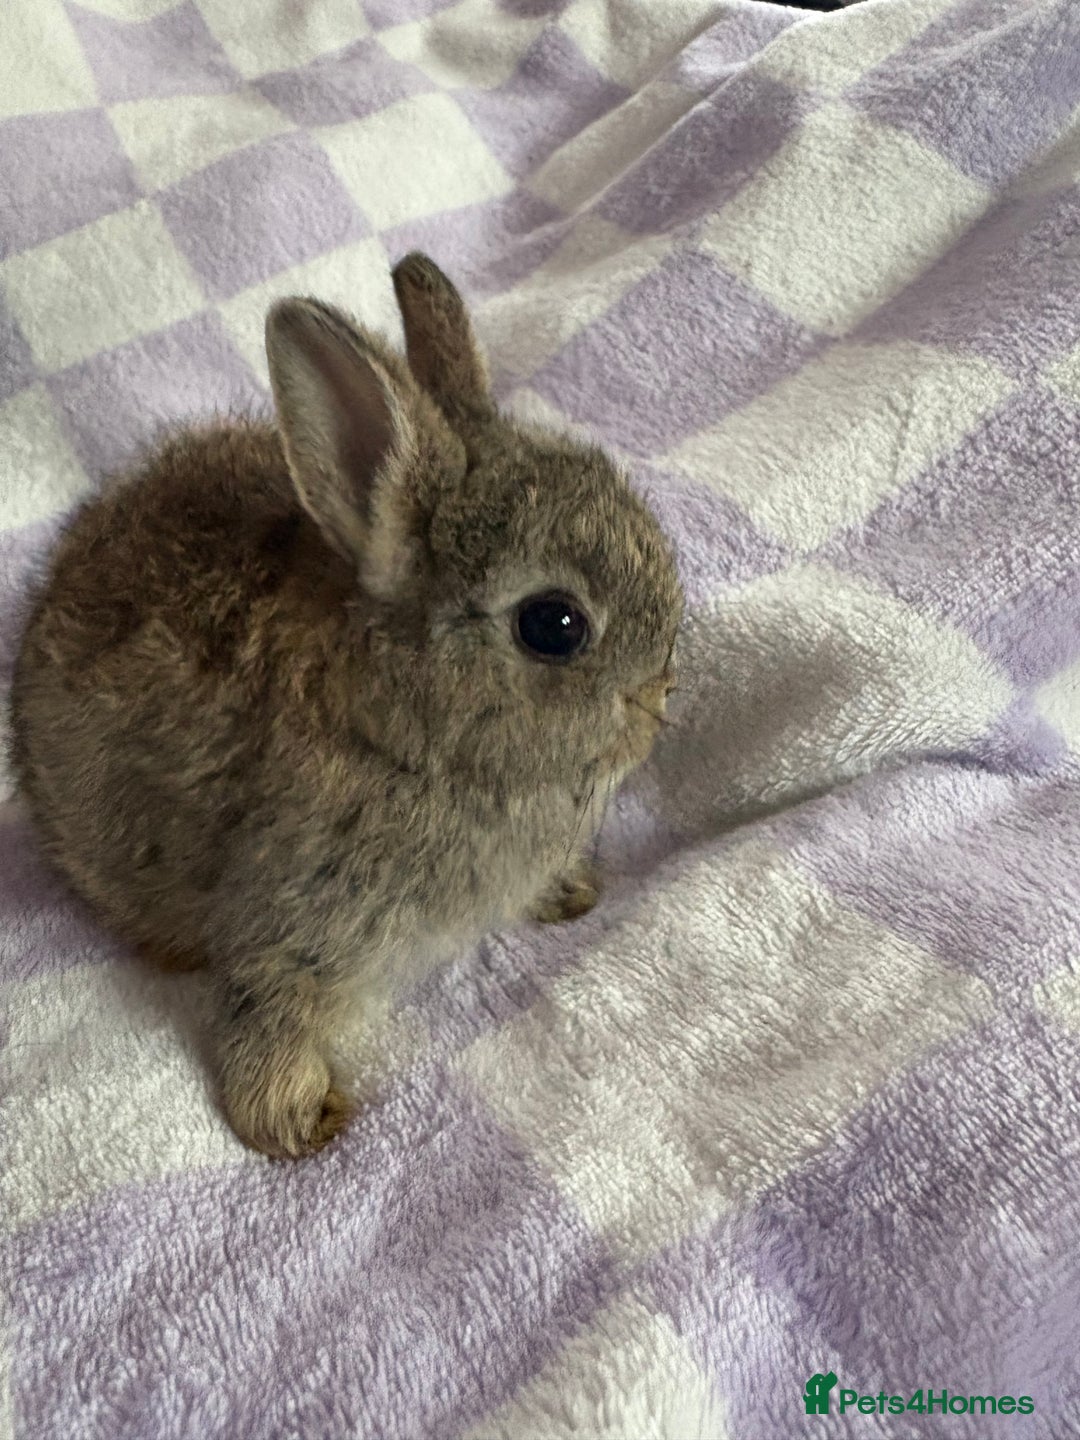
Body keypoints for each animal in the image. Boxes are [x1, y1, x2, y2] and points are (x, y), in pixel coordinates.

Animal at [9, 253, 683, 1159]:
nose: (657, 699)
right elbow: (269, 1007)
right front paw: (294, 1121)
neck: (401, 732)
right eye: (555, 624)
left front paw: (569, 893)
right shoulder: (292, 911)